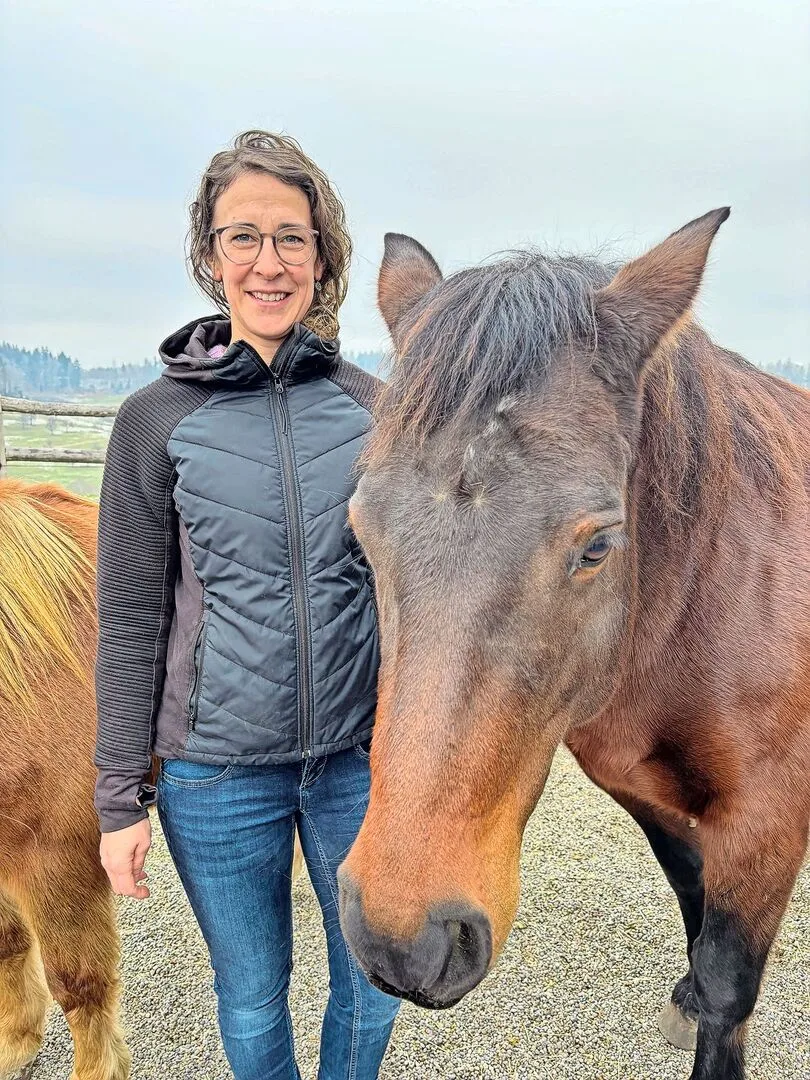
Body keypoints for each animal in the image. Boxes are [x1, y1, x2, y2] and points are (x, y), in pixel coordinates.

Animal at [337, 210, 810, 1080]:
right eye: (362, 531)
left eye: (597, 547)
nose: (405, 943)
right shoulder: (649, 795)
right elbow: (694, 905)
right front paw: (686, 994)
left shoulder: (768, 818)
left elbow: (730, 982)